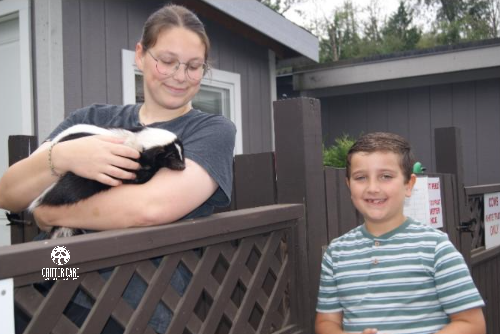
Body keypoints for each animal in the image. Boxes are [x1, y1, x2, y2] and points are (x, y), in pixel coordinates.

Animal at [27, 124, 184, 239]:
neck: (134, 140)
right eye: (170, 156)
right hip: (78, 182)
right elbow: (137, 177)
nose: (182, 166)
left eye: (181, 153)